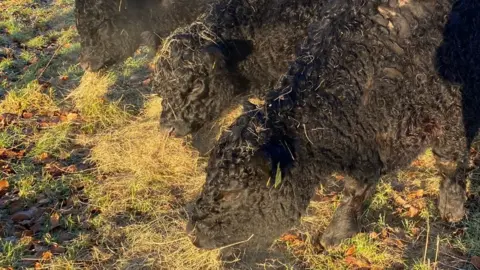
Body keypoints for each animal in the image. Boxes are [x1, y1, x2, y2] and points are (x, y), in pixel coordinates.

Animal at [185, 0, 480, 250]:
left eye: (231, 193)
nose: (194, 235)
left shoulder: (451, 113)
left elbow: (449, 163)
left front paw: (452, 209)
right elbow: (355, 189)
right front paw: (338, 232)